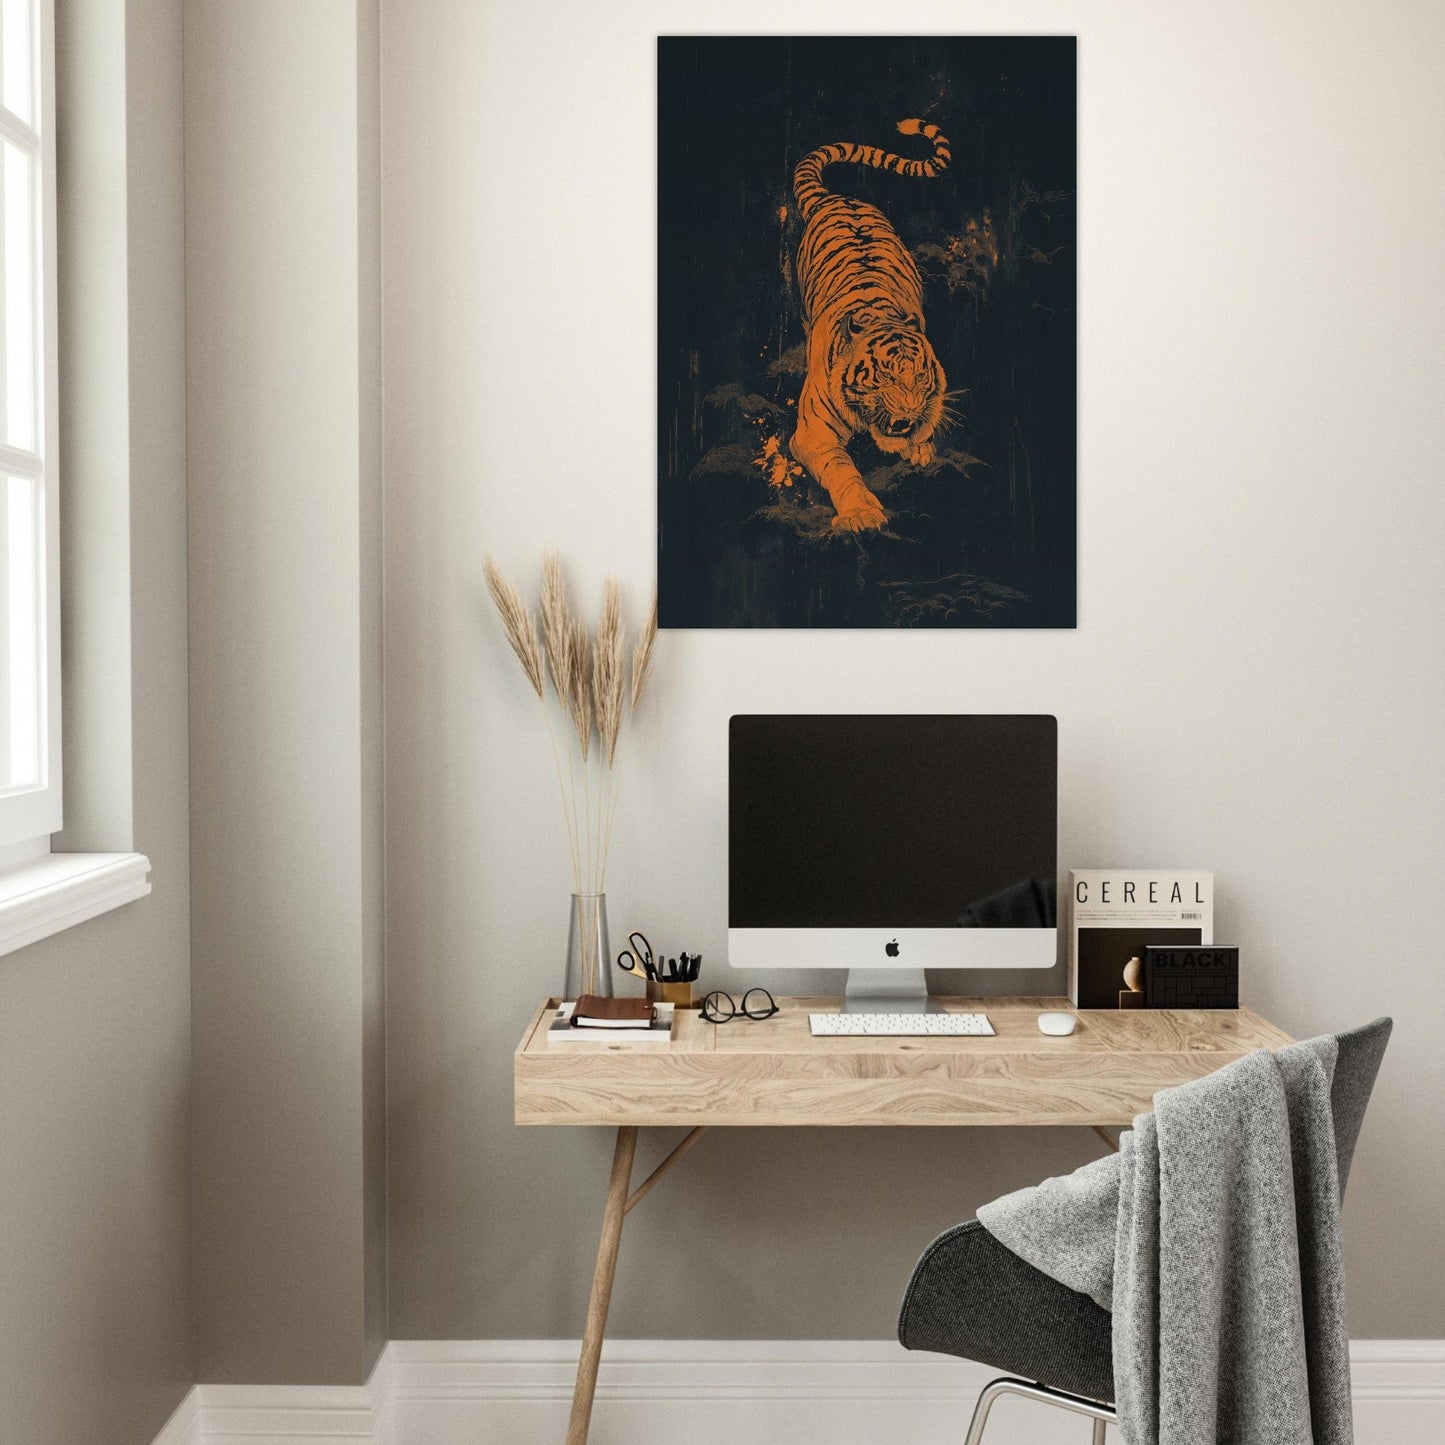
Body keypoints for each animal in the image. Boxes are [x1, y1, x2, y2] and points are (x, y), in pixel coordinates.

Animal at [789, 118, 951, 532]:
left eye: (920, 376)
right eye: (886, 375)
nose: (907, 416)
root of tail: (836, 197)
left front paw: (921, 446)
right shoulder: (813, 433)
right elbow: (841, 468)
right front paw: (860, 513)